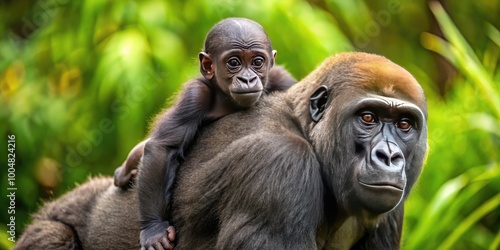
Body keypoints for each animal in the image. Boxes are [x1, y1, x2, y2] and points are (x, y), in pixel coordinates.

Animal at [111, 18, 296, 250]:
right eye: (234, 62)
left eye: (257, 62)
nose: (247, 79)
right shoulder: (196, 96)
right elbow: (164, 147)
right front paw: (154, 229)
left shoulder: (279, 78)